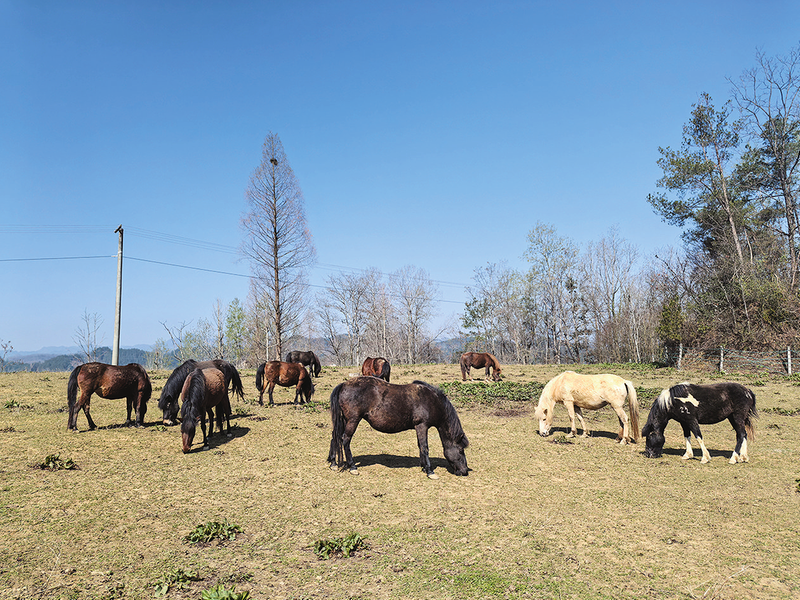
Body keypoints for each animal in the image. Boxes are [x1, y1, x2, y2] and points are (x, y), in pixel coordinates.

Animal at [328, 377, 469, 479]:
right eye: (461, 450)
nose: (464, 471)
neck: (431, 400)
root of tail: (344, 384)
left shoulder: (419, 428)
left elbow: (420, 446)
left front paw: (424, 467)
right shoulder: (422, 426)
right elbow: (425, 447)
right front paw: (430, 471)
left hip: (344, 420)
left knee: (335, 437)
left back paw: (333, 463)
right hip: (353, 420)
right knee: (345, 440)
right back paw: (352, 467)